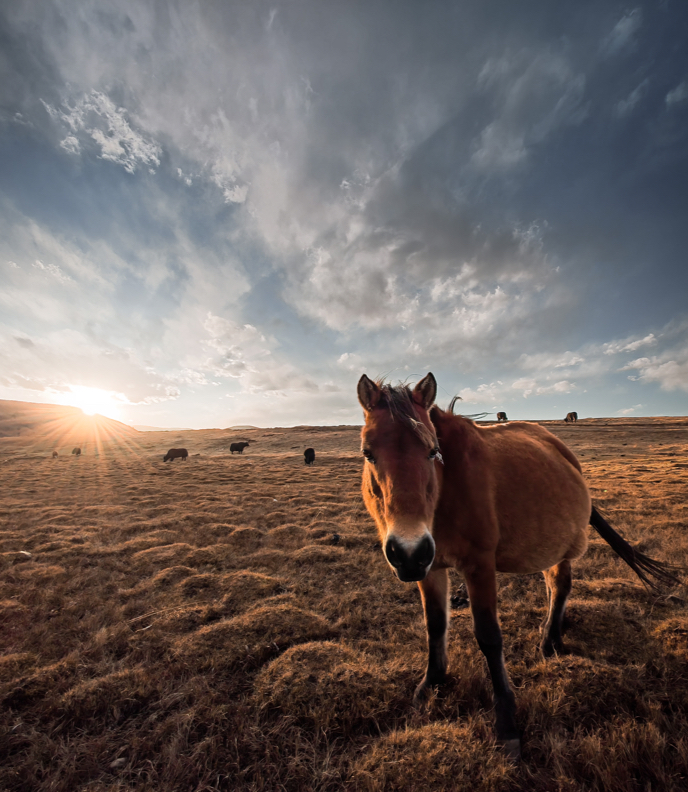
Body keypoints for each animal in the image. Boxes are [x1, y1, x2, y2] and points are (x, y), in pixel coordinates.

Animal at [358, 374, 680, 756]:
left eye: (433, 450)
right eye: (368, 453)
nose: (407, 550)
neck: (447, 492)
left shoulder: (479, 566)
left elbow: (489, 637)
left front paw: (506, 721)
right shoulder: (429, 567)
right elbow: (435, 625)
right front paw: (430, 685)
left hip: (562, 546)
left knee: (561, 586)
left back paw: (550, 640)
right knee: (553, 586)